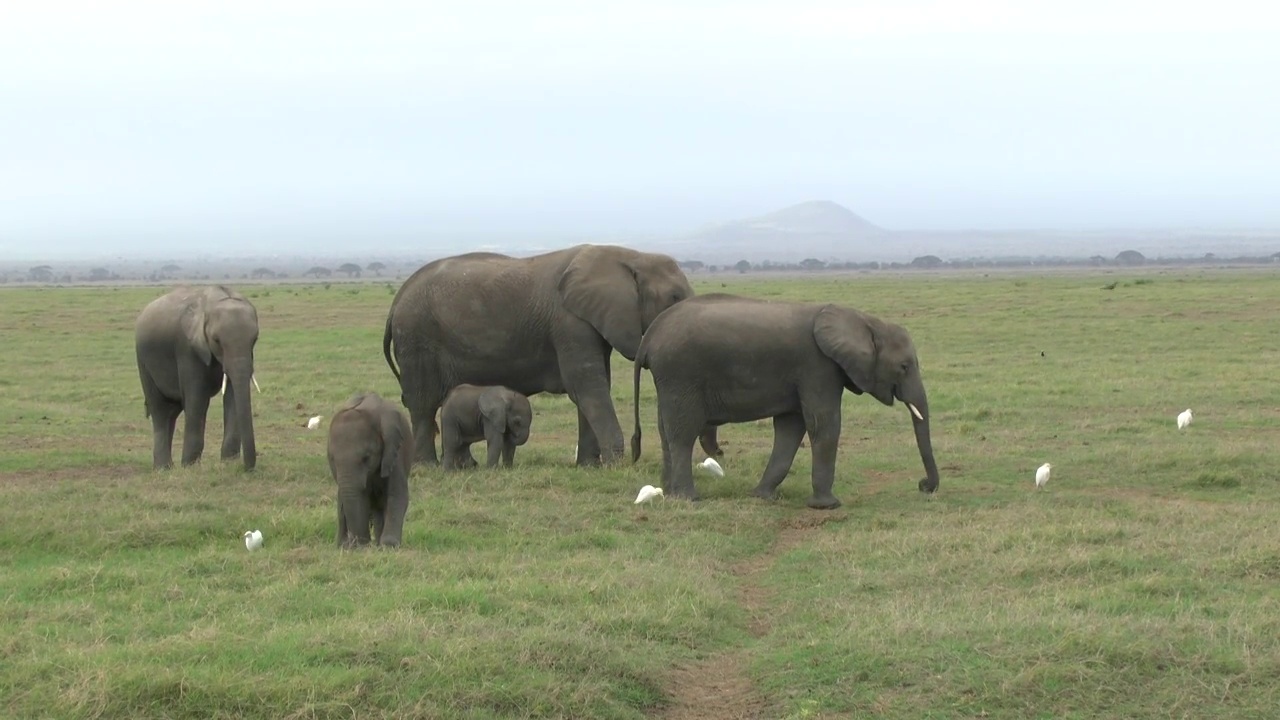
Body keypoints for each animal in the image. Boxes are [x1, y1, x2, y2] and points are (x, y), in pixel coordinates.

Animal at [135, 285, 259, 471]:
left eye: (255, 339)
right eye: (216, 340)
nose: (247, 468)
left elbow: (231, 397)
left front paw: (229, 463)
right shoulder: (187, 349)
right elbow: (197, 400)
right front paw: (190, 466)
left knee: (171, 411)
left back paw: (168, 467)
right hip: (143, 361)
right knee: (160, 409)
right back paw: (163, 468)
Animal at [327, 389, 412, 545]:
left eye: (366, 457)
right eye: (332, 459)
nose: (356, 542)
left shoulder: (394, 451)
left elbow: (397, 494)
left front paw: (388, 545)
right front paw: (359, 545)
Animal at [378, 240, 721, 466]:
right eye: (674, 297)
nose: (720, 453)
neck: (628, 255)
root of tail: (396, 301)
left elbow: (592, 388)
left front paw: (588, 467)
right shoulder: (568, 322)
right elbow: (587, 386)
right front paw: (615, 465)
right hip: (417, 338)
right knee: (423, 403)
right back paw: (427, 466)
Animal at [629, 293, 942, 509]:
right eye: (904, 367)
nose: (923, 486)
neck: (865, 321)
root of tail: (650, 336)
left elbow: (791, 429)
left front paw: (762, 497)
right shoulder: (818, 367)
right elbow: (823, 424)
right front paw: (827, 506)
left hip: (670, 379)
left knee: (666, 430)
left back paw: (669, 492)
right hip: (682, 373)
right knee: (683, 432)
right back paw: (688, 499)